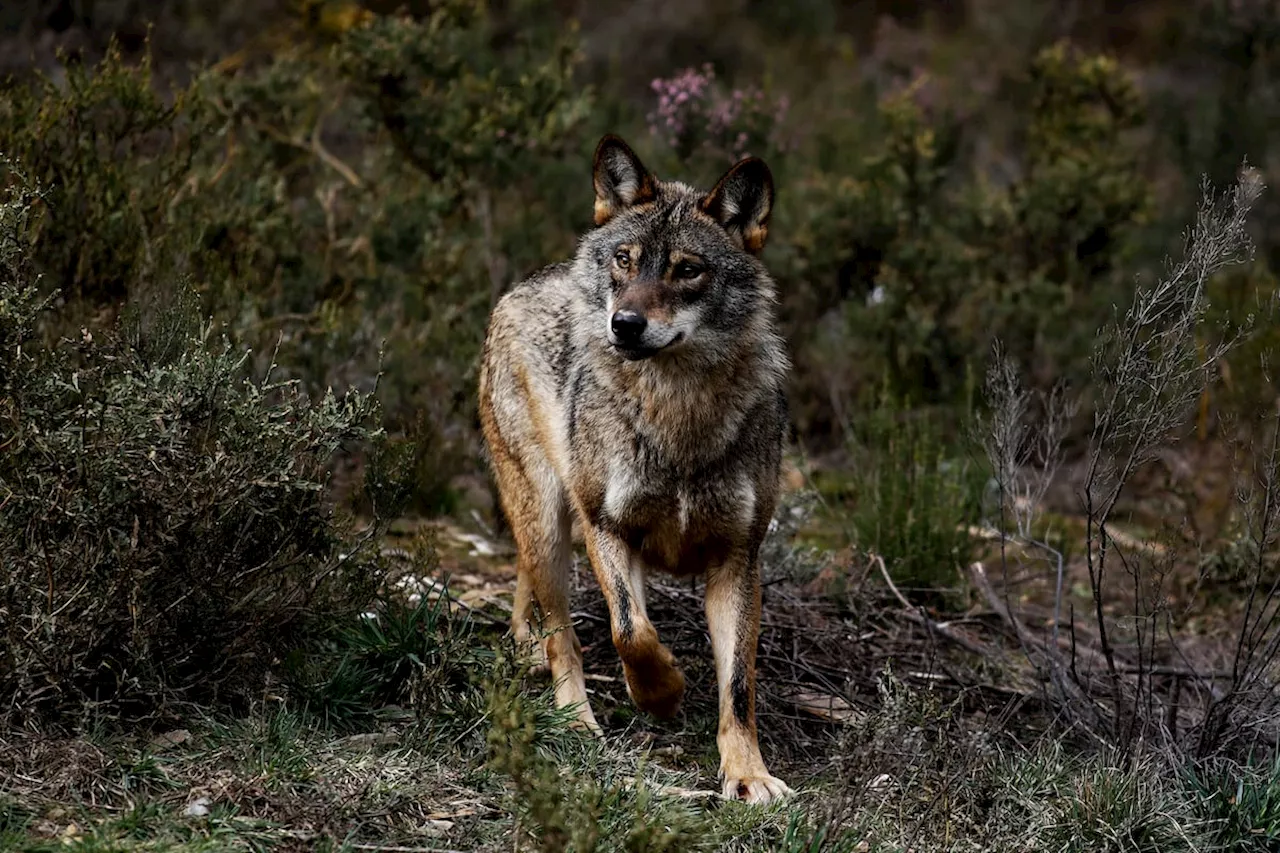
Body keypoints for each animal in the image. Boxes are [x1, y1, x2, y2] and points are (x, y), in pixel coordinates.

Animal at [478, 134, 788, 804]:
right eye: (625, 260)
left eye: (687, 269)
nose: (624, 324)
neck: (679, 417)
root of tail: (526, 283)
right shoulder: (607, 527)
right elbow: (631, 631)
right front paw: (662, 692)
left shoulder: (738, 558)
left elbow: (738, 688)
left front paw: (747, 774)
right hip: (549, 525)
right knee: (563, 636)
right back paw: (576, 721)